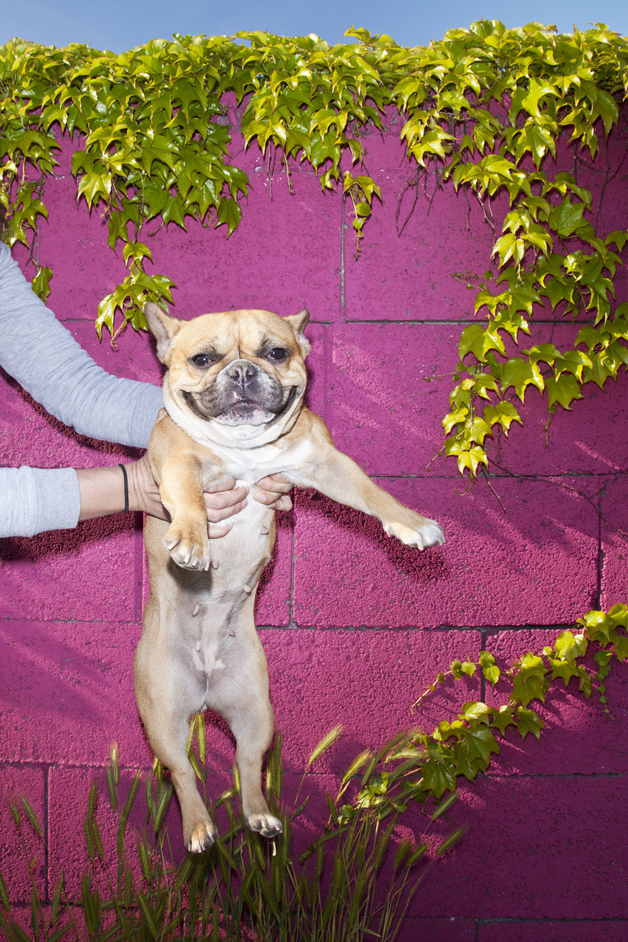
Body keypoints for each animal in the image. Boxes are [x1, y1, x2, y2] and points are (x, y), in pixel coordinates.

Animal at [134, 304, 444, 856]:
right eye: (203, 359)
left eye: (276, 352)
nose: (242, 372)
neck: (244, 449)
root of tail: (206, 690)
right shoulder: (177, 462)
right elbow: (189, 494)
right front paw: (193, 539)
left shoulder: (327, 463)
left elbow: (372, 491)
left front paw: (410, 522)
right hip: (163, 718)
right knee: (182, 773)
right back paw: (198, 828)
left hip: (258, 712)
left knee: (248, 763)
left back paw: (259, 816)